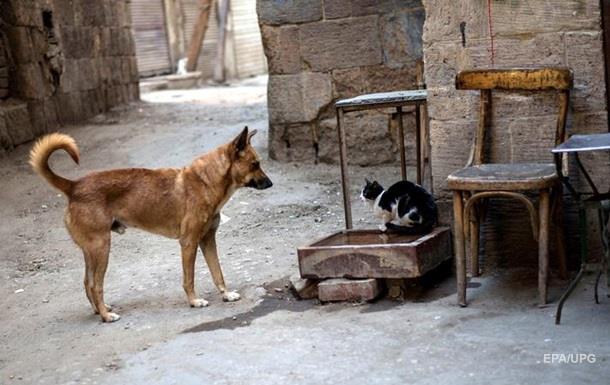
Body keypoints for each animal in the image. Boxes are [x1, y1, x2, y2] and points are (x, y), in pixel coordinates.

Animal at [29, 127, 272, 320]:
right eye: (255, 164)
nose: (270, 184)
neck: (207, 181)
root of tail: (74, 186)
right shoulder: (189, 243)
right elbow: (189, 278)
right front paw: (194, 301)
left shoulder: (208, 240)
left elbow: (217, 272)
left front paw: (226, 294)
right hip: (101, 248)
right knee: (96, 286)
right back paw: (106, 316)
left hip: (92, 251)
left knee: (87, 284)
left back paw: (100, 310)